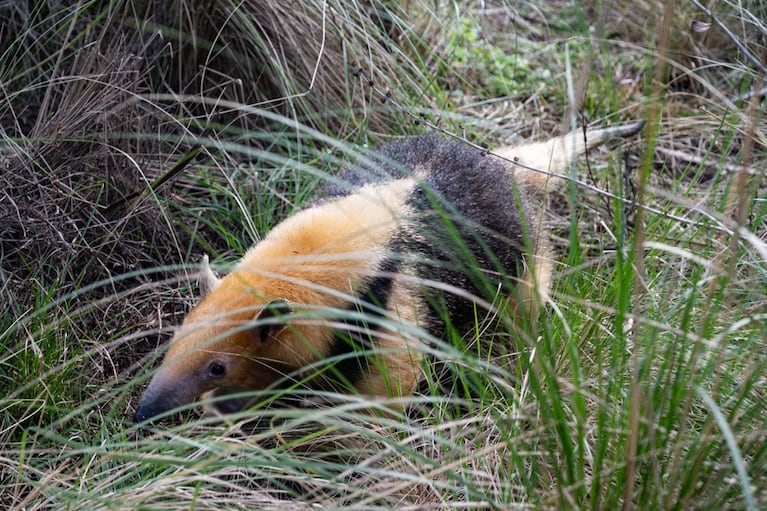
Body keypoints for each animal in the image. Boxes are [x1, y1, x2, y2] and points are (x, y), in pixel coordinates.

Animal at [134, 122, 643, 422]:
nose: (143, 412)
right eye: (177, 336)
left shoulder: (391, 296)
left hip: (520, 250)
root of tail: (499, 164)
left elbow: (386, 384)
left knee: (523, 308)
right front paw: (235, 410)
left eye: (216, 366)